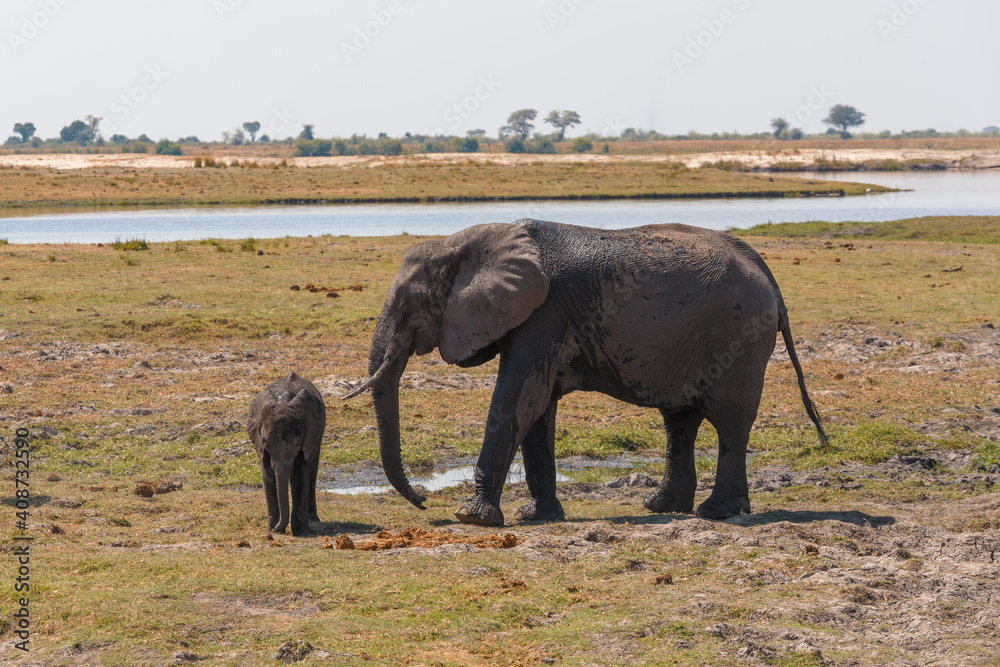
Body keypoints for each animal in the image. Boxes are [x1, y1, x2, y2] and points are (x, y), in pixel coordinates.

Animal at [247, 372, 326, 536]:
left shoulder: (308, 436)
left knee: (312, 468)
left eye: (297, 443)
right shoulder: (261, 445)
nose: (279, 528)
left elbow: (300, 473)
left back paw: (314, 521)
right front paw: (273, 529)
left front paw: (301, 532)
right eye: (266, 443)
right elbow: (267, 473)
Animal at [345, 219, 827, 527]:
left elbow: (518, 400)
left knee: (729, 422)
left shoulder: (543, 314)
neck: (466, 243)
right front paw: (537, 517)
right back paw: (661, 506)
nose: (423, 500)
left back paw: (716, 513)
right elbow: (536, 410)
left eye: (410, 307)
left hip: (739, 337)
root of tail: (770, 276)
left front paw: (472, 518)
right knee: (680, 421)